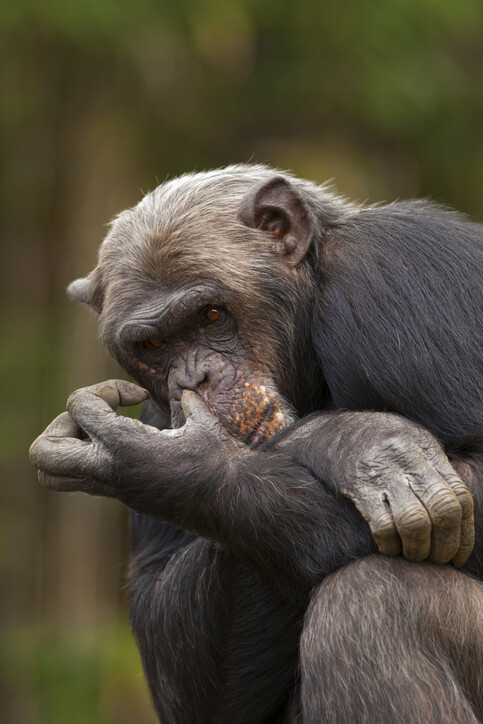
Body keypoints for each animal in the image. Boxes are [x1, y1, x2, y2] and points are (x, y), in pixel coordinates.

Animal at [31, 167, 483, 720]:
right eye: (153, 345)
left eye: (210, 314)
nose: (194, 378)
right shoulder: (157, 407)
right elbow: (169, 643)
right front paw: (353, 441)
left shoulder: (397, 273)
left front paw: (172, 462)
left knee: (376, 600)